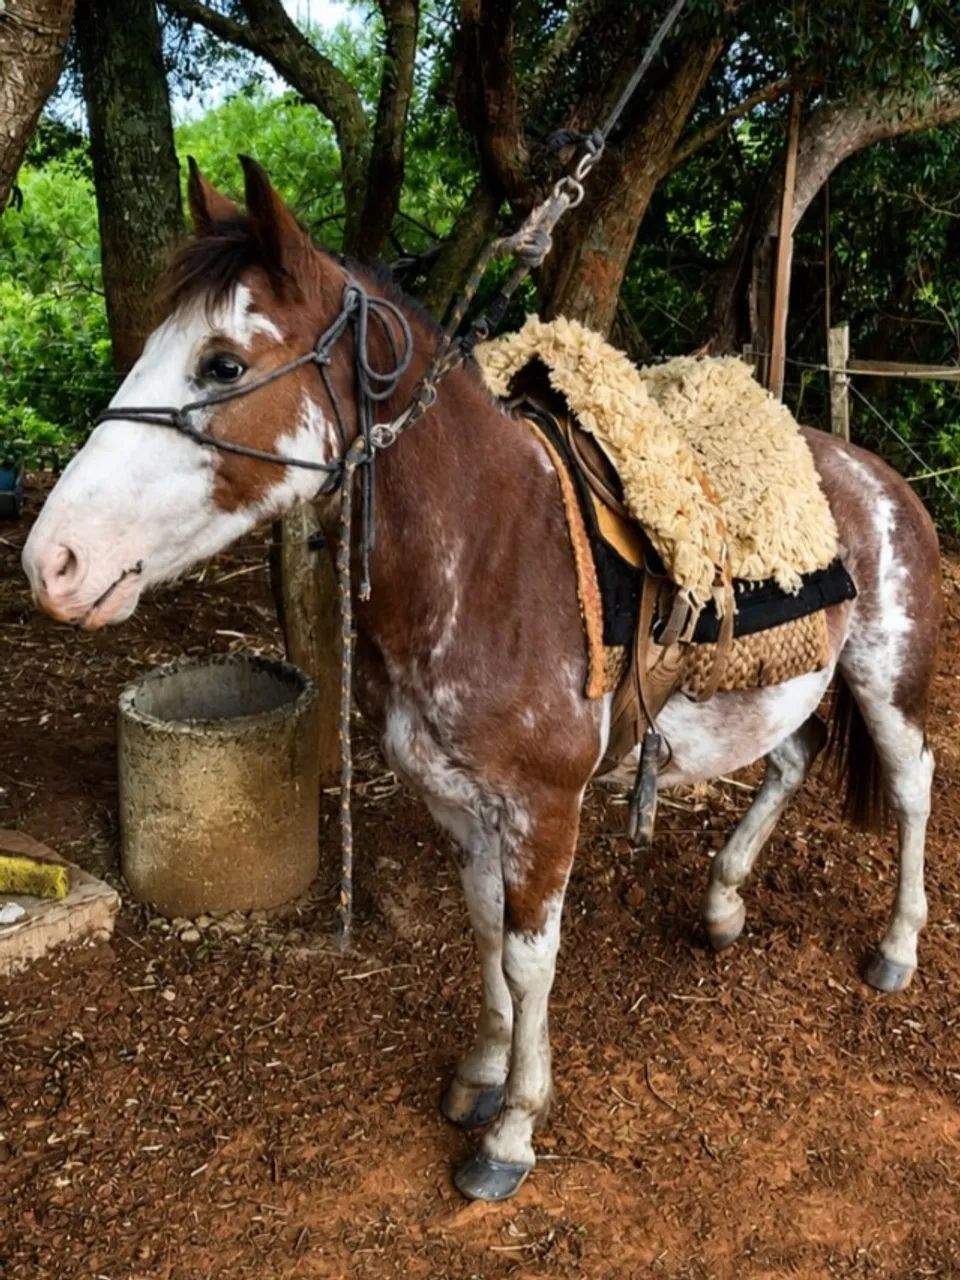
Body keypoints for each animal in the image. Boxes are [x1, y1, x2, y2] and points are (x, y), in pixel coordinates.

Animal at [22, 158, 941, 1202]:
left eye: (221, 364)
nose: (52, 562)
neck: (493, 556)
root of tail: (878, 476)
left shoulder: (546, 809)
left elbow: (531, 960)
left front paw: (512, 1132)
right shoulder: (453, 800)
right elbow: (485, 936)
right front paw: (481, 1074)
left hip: (887, 679)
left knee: (912, 785)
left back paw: (896, 947)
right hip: (782, 684)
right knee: (789, 761)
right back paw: (721, 906)